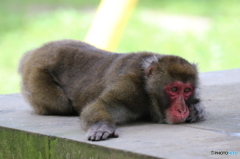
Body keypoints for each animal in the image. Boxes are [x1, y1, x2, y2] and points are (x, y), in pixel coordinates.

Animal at [18, 39, 205, 141]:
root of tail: (34, 52)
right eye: (174, 89)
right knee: (61, 104)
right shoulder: (129, 88)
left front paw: (196, 108)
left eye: (187, 90)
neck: (147, 90)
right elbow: (100, 105)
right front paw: (101, 126)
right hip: (35, 75)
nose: (182, 109)